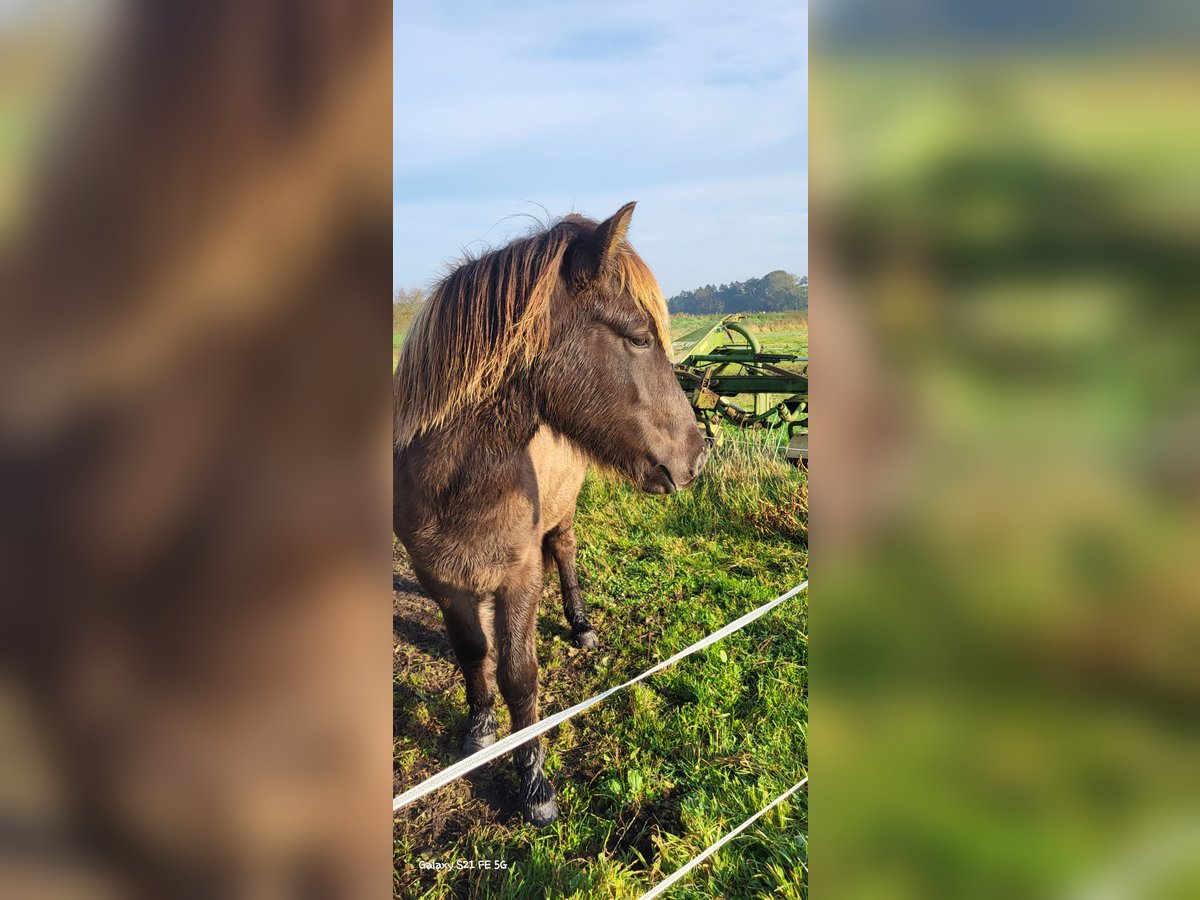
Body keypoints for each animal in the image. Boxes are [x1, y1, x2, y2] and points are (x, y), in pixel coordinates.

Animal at [393, 202, 705, 825]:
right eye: (640, 338)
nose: (697, 455)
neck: (453, 482)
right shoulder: (436, 576)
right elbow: (472, 652)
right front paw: (481, 727)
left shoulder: (519, 576)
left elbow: (520, 675)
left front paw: (534, 783)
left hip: (562, 517)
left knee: (564, 551)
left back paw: (581, 625)